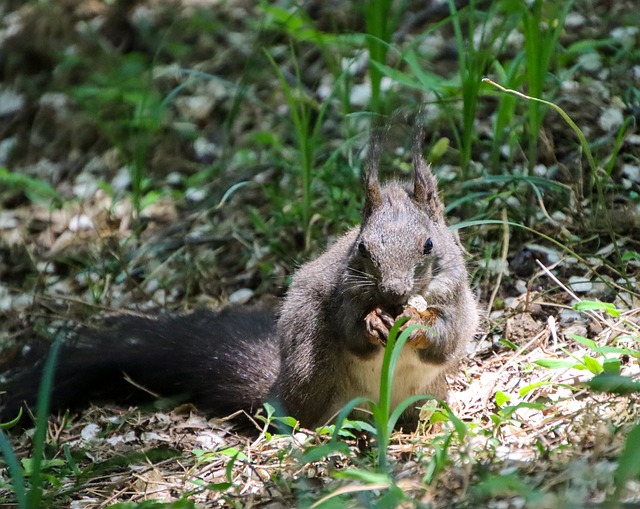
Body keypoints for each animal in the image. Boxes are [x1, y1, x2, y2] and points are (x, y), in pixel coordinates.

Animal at [0, 127, 478, 428]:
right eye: (362, 248)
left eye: (428, 245)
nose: (394, 292)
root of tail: (279, 392)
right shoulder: (342, 294)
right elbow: (350, 329)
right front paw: (374, 321)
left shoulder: (455, 296)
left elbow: (445, 338)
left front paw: (416, 323)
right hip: (315, 373)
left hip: (426, 393)